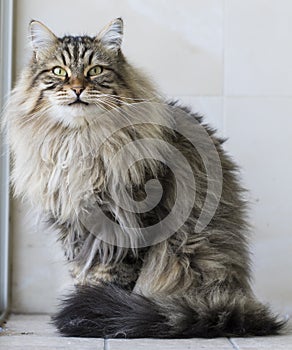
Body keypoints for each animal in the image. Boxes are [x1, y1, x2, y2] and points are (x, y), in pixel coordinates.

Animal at [3, 17, 286, 338]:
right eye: (59, 72)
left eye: (95, 71)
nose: (77, 88)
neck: (81, 143)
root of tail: (236, 297)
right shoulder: (73, 225)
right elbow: (81, 272)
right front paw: (82, 310)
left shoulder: (129, 226)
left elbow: (113, 278)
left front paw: (93, 311)